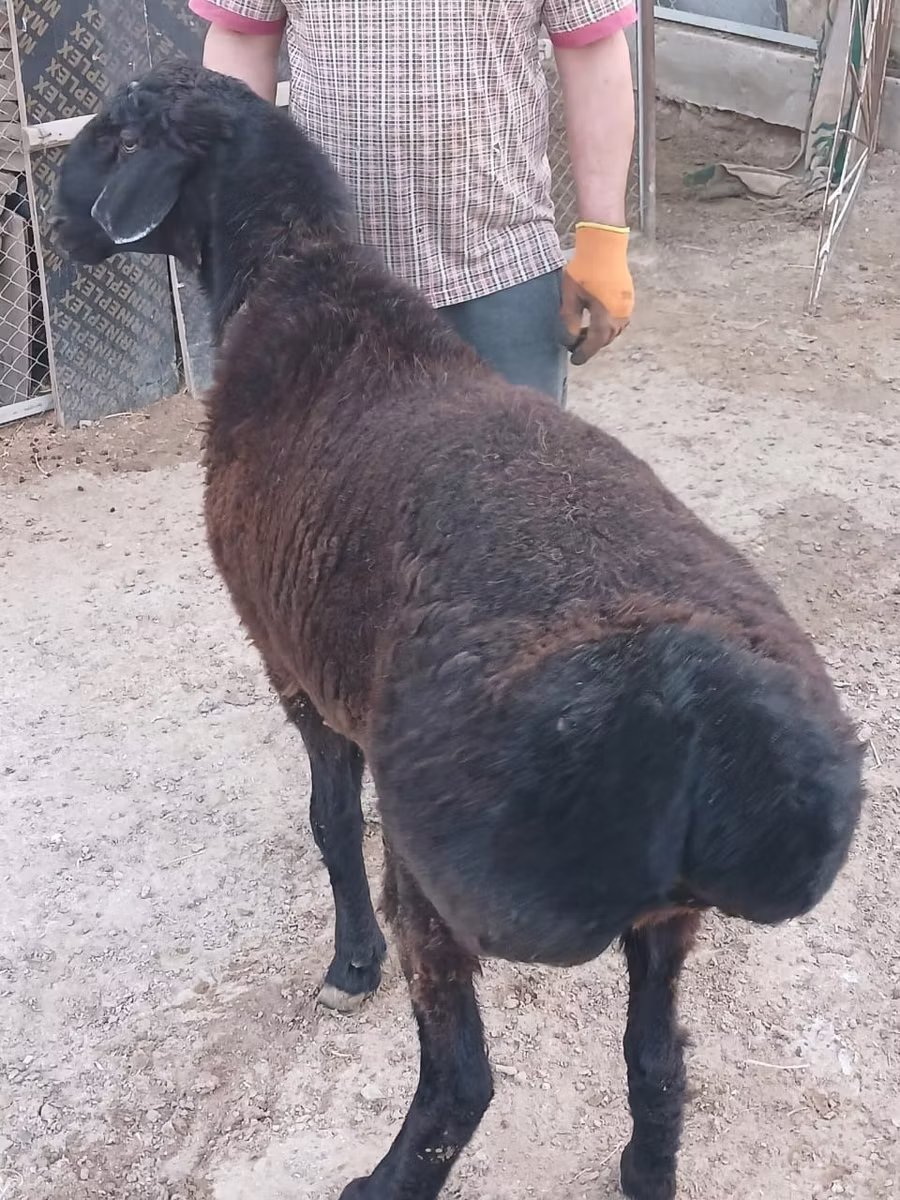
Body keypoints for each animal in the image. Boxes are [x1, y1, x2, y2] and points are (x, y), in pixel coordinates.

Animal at [52, 59, 865, 1200]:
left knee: (464, 1078)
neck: (293, 279)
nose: (43, 217)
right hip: (670, 918)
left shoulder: (295, 663)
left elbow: (330, 820)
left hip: (442, 873)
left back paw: (379, 1180)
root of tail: (700, 722)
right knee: (658, 1063)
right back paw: (643, 1168)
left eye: (110, 135)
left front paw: (349, 964)